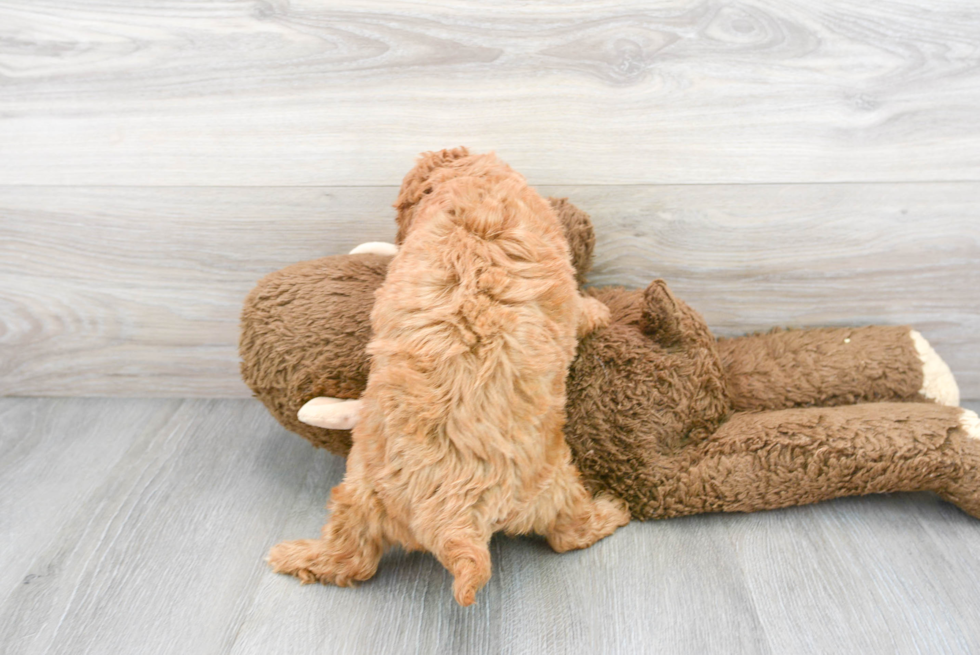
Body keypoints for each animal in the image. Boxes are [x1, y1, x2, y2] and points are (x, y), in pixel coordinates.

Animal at [268, 149, 628, 604]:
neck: (473, 187)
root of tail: (454, 521)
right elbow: (580, 309)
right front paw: (598, 311)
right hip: (553, 483)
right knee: (568, 534)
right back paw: (609, 512)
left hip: (361, 490)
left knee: (351, 558)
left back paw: (295, 556)